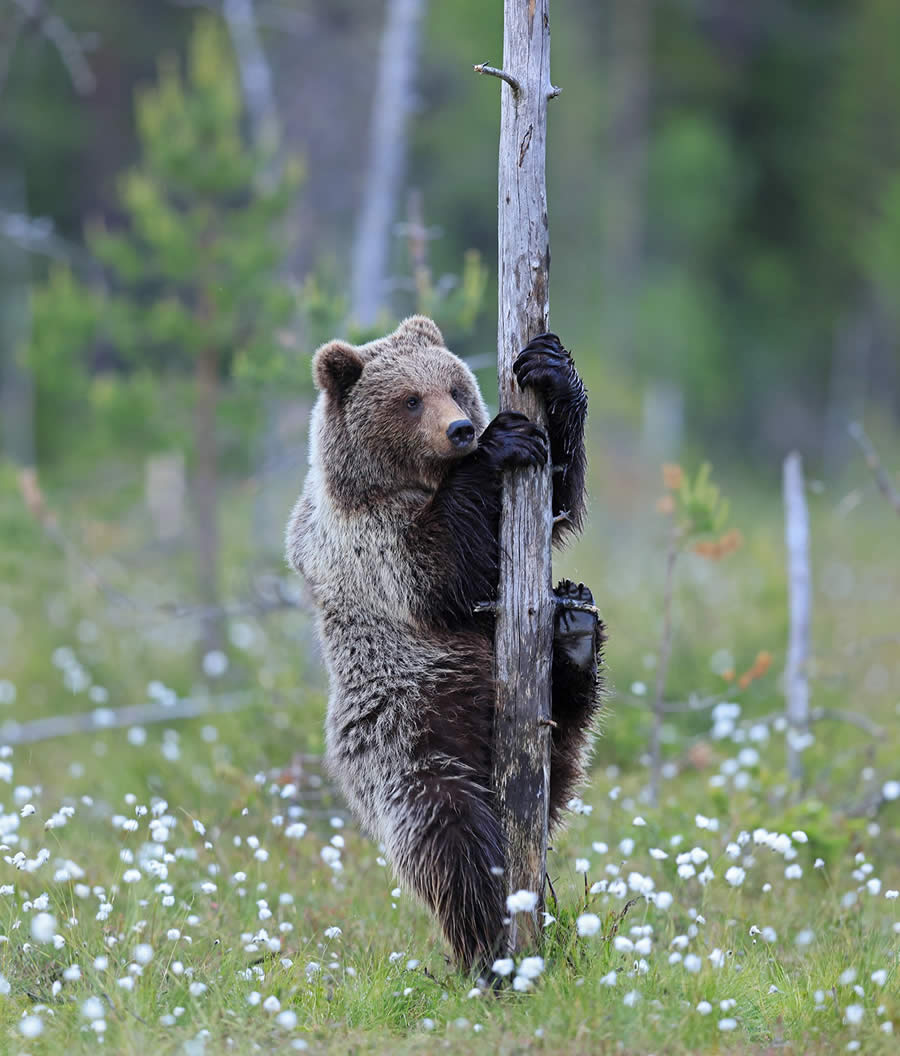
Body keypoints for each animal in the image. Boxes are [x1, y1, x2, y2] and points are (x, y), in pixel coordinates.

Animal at [285, 312, 600, 971]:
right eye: (409, 399)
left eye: (454, 385)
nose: (460, 429)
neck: (408, 481)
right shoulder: (365, 543)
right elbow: (438, 566)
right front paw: (499, 444)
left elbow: (555, 503)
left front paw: (553, 372)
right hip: (410, 736)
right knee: (451, 837)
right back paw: (488, 949)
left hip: (544, 738)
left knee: (567, 733)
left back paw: (576, 633)